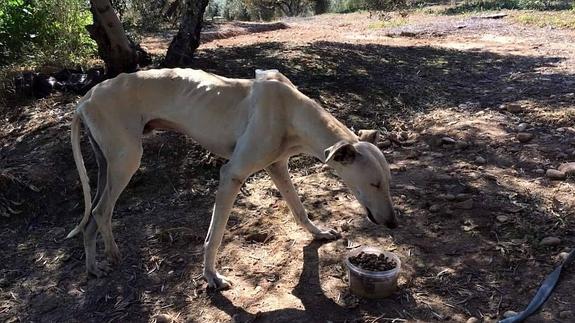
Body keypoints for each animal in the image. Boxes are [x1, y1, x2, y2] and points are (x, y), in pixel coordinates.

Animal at [67, 69, 398, 292]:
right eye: (374, 184)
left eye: (387, 182)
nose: (393, 224)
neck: (291, 110)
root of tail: (86, 97)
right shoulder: (232, 175)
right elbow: (214, 236)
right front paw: (211, 277)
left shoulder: (278, 167)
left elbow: (299, 209)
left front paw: (318, 233)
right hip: (126, 161)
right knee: (100, 211)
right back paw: (110, 255)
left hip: (108, 164)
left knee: (91, 216)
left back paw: (93, 267)